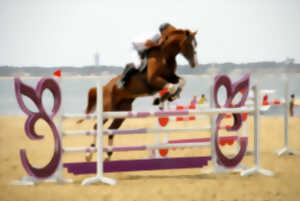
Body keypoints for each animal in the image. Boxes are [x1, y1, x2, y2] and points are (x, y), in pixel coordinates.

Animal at [79, 25, 199, 160]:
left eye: (196, 44)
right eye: (189, 44)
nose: (194, 63)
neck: (165, 56)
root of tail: (104, 87)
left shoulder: (171, 77)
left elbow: (181, 81)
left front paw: (168, 97)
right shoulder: (154, 80)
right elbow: (171, 86)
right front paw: (161, 99)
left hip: (122, 112)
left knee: (111, 129)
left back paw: (108, 155)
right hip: (108, 109)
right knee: (97, 126)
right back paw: (89, 153)